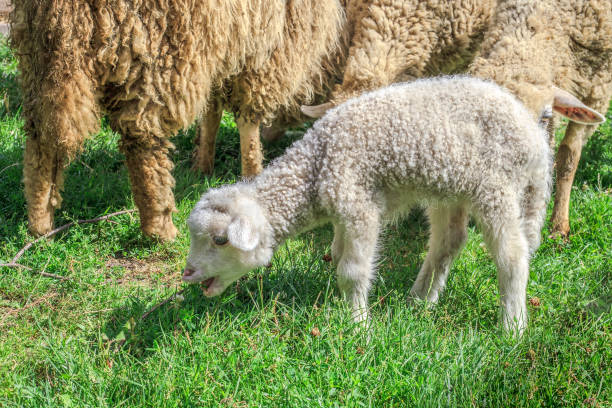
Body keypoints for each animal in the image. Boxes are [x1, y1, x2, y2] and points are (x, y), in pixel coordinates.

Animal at [10, 0, 344, 241]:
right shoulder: (268, 45)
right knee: (142, 142)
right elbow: (247, 120)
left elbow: (212, 109)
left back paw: (40, 222)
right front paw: (253, 174)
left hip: (41, 57)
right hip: (154, 48)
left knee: (42, 139)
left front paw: (202, 164)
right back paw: (160, 228)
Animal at [184, 76, 552, 334]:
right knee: (448, 242)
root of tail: (536, 142)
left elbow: (351, 270)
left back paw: (512, 329)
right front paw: (344, 306)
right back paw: (420, 301)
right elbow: (337, 255)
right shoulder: (344, 210)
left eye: (221, 240)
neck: (316, 166)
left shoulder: (359, 206)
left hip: (497, 186)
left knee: (512, 255)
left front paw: (359, 325)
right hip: (451, 189)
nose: (188, 273)